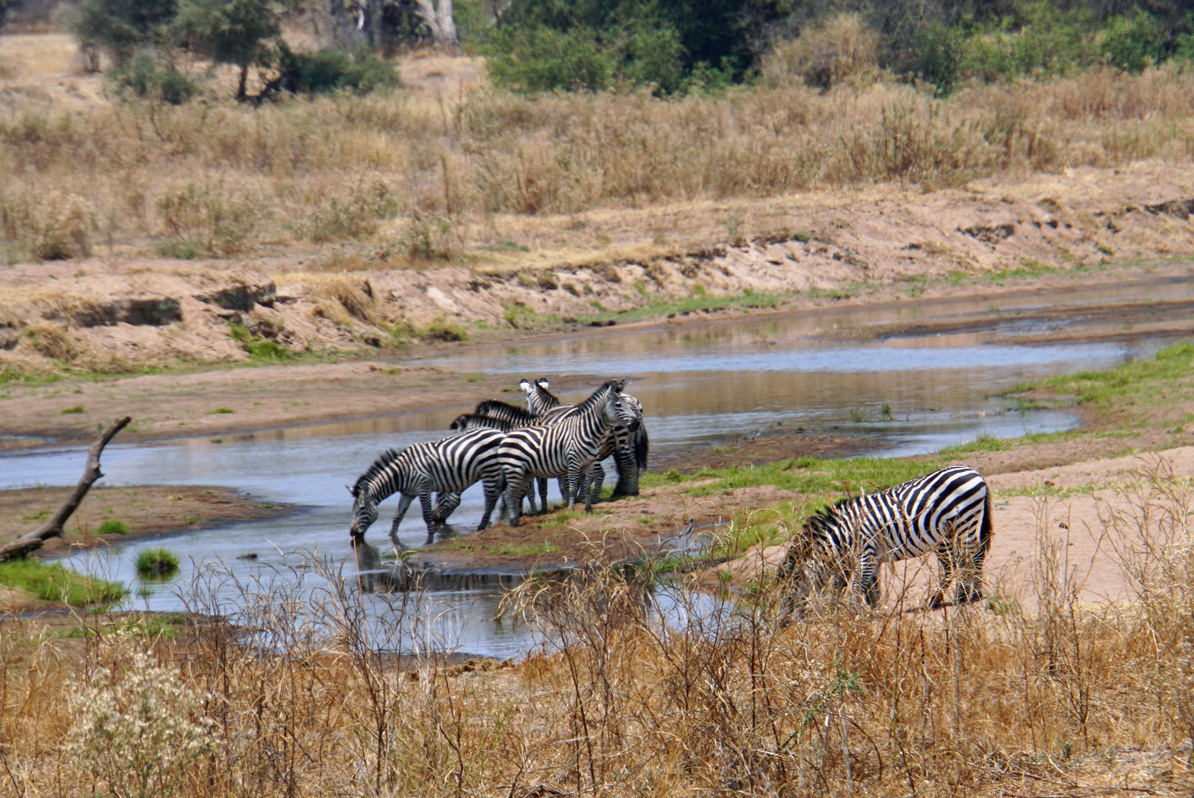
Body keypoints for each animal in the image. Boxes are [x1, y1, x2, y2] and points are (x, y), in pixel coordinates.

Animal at [348, 427, 506, 547]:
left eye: (362, 509)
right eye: (353, 510)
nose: (352, 533)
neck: (402, 473)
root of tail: (499, 432)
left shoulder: (423, 488)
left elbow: (426, 515)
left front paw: (430, 538)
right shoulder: (408, 493)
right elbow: (398, 516)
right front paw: (391, 536)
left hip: (489, 470)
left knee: (490, 500)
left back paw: (481, 527)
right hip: (496, 472)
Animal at [497, 379, 642, 526]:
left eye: (526, 402)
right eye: (618, 405)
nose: (635, 423)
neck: (586, 429)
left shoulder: (586, 462)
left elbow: (582, 484)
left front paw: (586, 507)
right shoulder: (573, 462)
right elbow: (572, 486)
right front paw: (571, 508)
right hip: (517, 470)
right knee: (508, 493)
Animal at [779, 465, 994, 616]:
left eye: (788, 592)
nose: (782, 626)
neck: (844, 538)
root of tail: (974, 472)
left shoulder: (866, 556)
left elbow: (856, 590)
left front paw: (854, 617)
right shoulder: (873, 561)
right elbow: (871, 592)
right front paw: (874, 616)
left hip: (966, 520)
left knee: (972, 556)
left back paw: (968, 596)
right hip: (947, 532)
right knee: (957, 563)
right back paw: (949, 598)